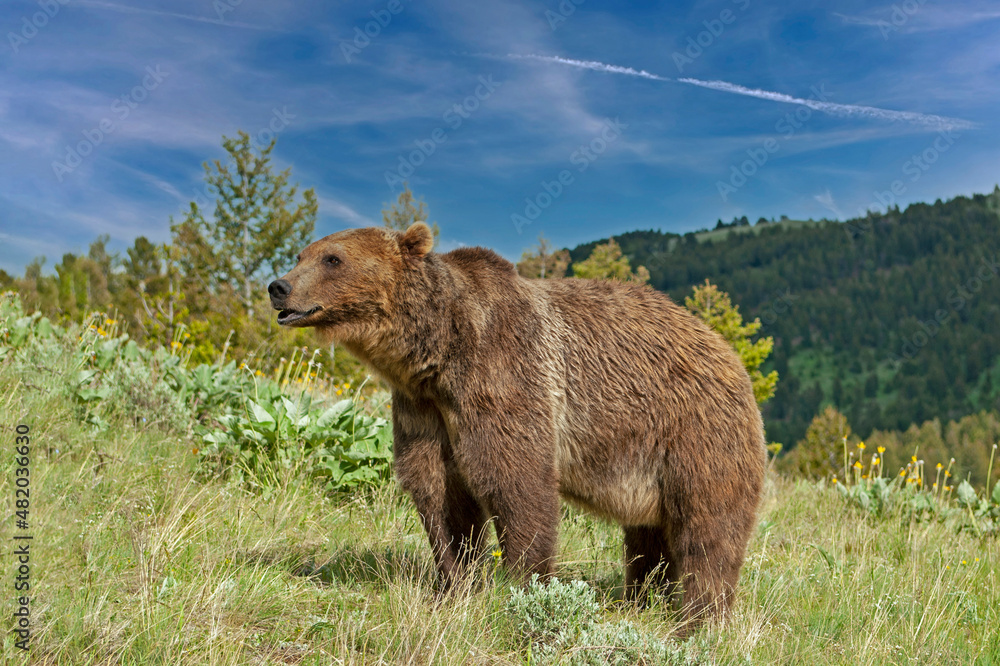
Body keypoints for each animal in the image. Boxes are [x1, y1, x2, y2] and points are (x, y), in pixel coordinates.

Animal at [268, 222, 766, 624]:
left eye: (333, 258)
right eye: (302, 254)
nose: (278, 286)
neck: (439, 352)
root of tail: (730, 354)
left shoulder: (505, 376)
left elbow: (515, 480)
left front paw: (524, 584)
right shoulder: (423, 408)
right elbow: (440, 492)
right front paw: (457, 582)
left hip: (694, 432)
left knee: (708, 529)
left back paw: (701, 617)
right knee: (648, 539)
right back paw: (642, 601)